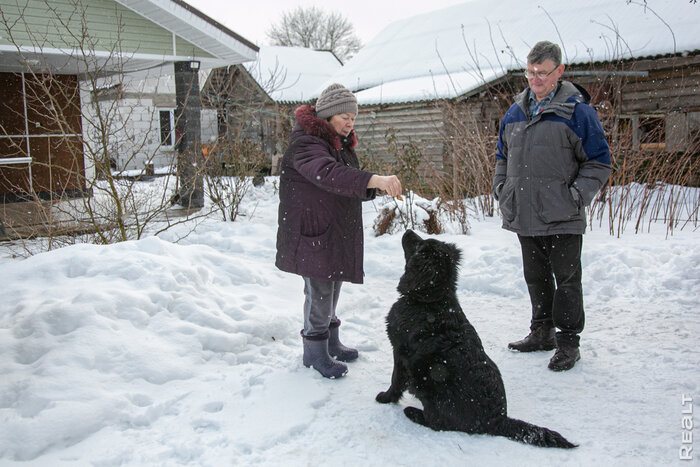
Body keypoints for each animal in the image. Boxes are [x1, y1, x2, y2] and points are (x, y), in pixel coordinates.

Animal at [378, 230, 576, 450]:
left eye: (420, 246)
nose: (408, 231)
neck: (431, 300)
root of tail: (499, 420)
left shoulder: (400, 352)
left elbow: (396, 380)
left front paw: (385, 398)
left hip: (431, 386)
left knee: (438, 422)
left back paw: (413, 412)